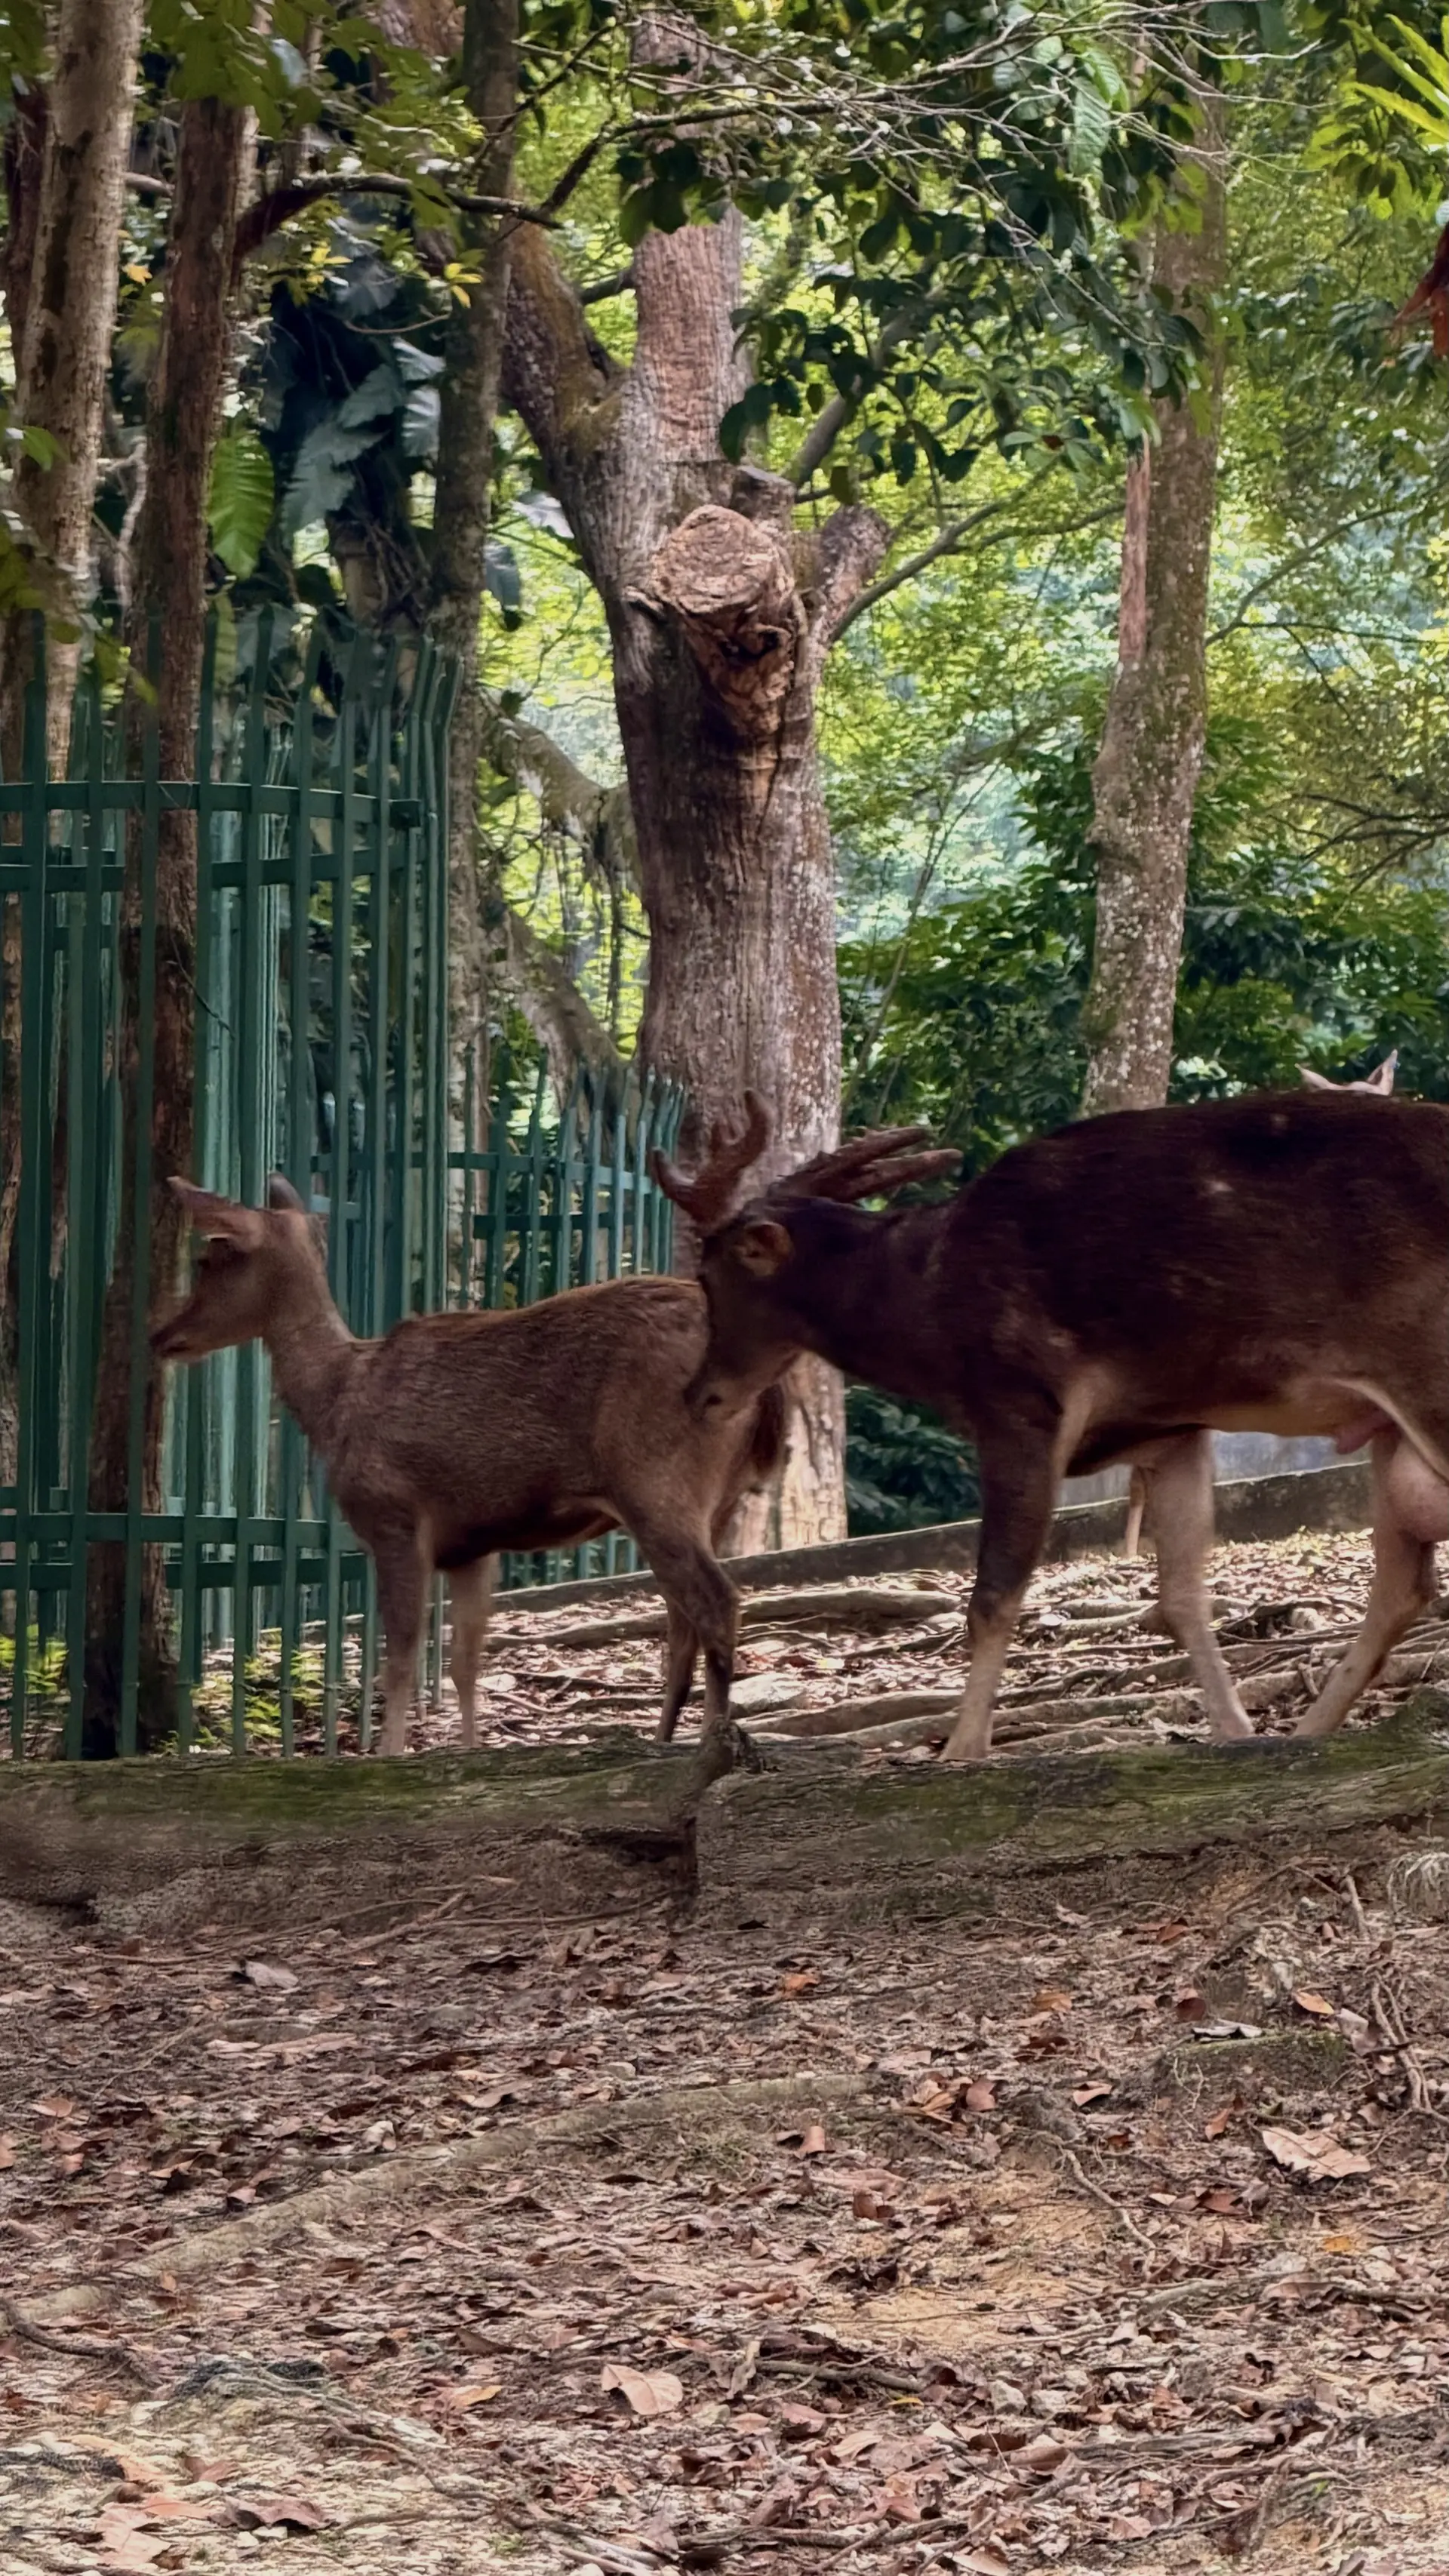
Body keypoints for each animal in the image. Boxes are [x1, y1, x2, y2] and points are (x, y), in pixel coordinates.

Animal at [151, 1172, 785, 1757]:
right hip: (712, 1500)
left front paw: (386, 1757)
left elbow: (401, 1659)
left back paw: (713, 1739)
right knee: (682, 1621)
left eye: (211, 1256)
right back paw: (664, 1739)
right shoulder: (471, 1546)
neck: (336, 1404)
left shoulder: (395, 1517)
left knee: (716, 1601)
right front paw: (470, 1749)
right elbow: (463, 1663)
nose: (162, 1333)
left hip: (656, 1479)